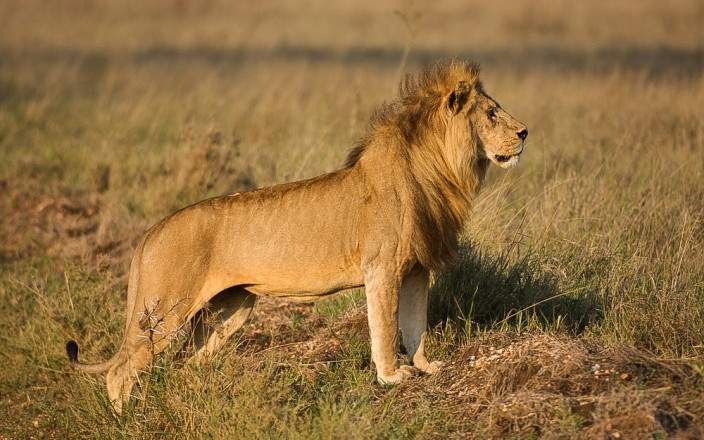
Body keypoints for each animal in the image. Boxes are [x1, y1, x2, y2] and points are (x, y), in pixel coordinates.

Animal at [66, 59, 527, 412]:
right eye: (491, 114)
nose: (524, 133)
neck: (438, 169)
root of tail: (151, 232)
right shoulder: (381, 268)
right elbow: (384, 326)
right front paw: (391, 376)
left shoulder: (416, 269)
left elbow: (416, 324)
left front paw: (426, 367)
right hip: (165, 309)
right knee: (121, 369)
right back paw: (126, 418)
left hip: (230, 310)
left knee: (188, 362)